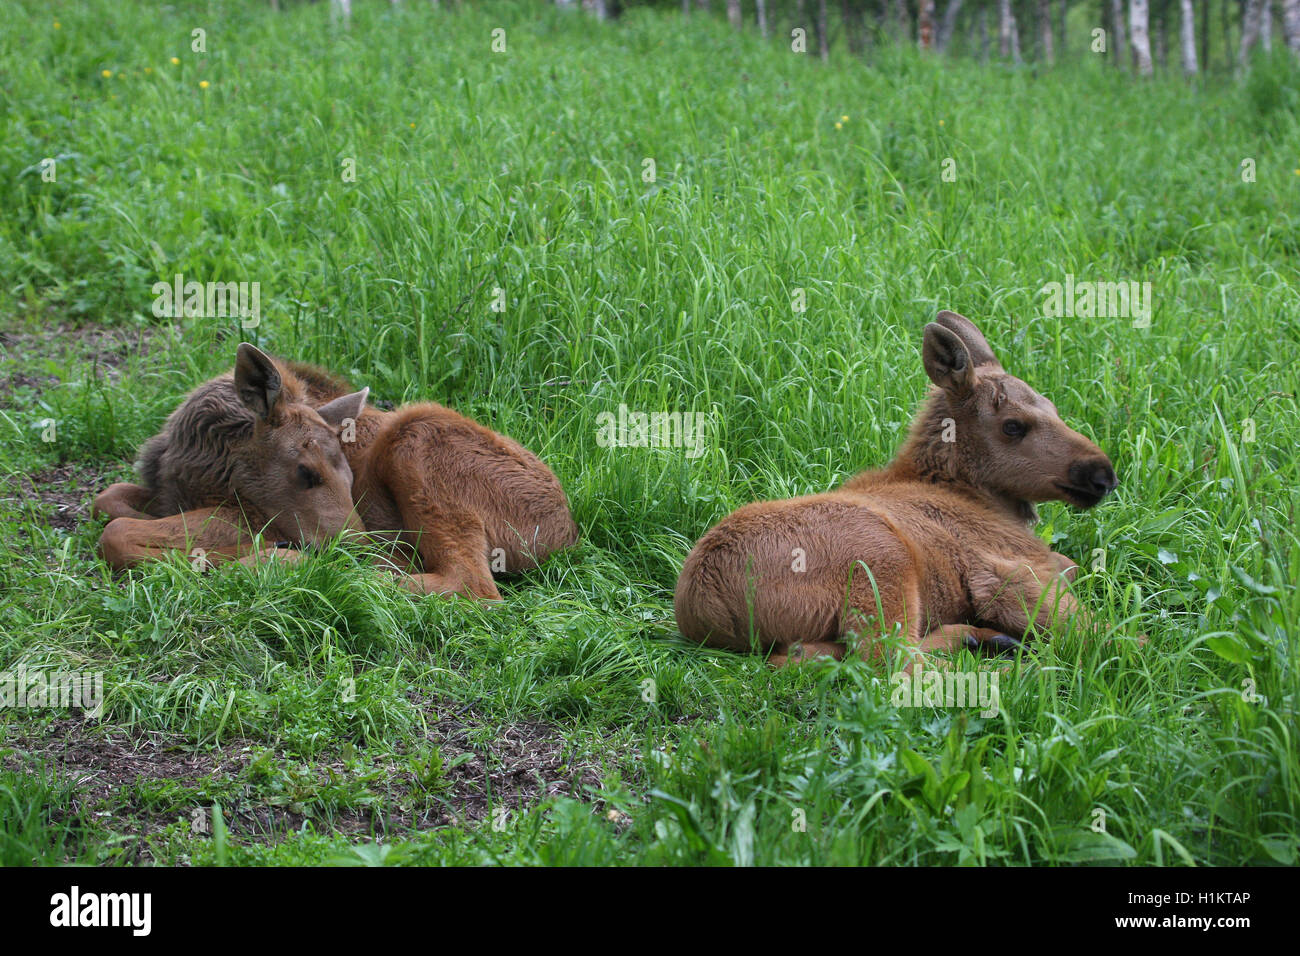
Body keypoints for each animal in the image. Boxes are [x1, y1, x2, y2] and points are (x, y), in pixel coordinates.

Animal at [670, 312, 1118, 665]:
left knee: (806, 655)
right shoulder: (1001, 573)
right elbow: (1102, 628)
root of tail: (706, 606)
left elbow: (1071, 566)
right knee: (890, 664)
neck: (982, 499)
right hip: (883, 566)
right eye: (1013, 425)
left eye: (1054, 408)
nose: (1103, 475)